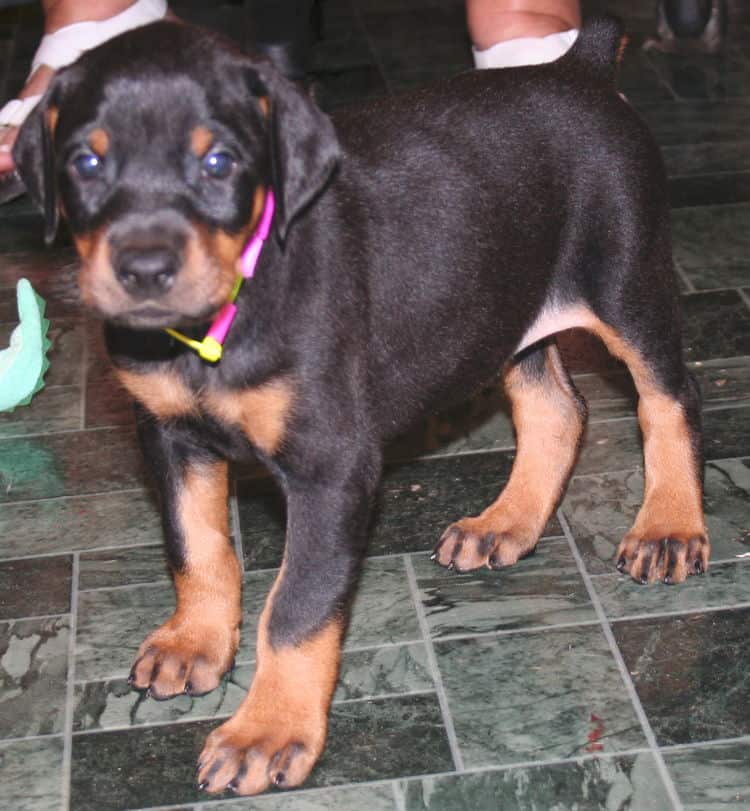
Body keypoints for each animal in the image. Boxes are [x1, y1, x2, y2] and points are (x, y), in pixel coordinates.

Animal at [13, 15, 712, 796]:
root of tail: (579, 68)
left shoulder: (332, 466)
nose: (143, 269)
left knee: (669, 398)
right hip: (502, 312)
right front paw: (194, 640)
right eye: (86, 162)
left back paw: (668, 527)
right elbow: (195, 546)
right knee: (556, 410)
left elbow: (297, 606)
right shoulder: (167, 434)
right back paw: (505, 523)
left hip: (626, 281)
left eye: (219, 161)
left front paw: (267, 730)